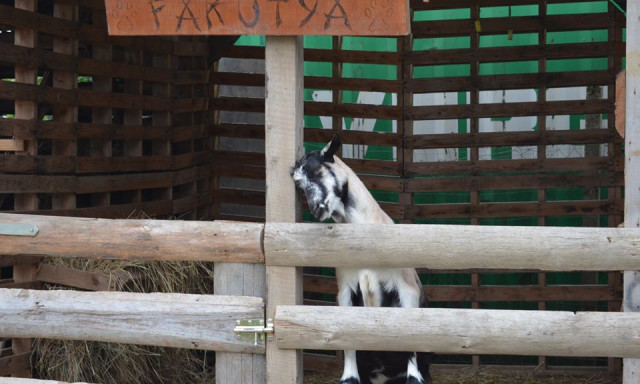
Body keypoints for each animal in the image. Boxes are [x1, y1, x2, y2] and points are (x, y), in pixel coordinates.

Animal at [292, 135, 432, 384]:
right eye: (298, 185)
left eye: (318, 170)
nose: (316, 208)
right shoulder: (346, 290)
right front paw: (348, 377)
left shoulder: (407, 290)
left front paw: (414, 377)